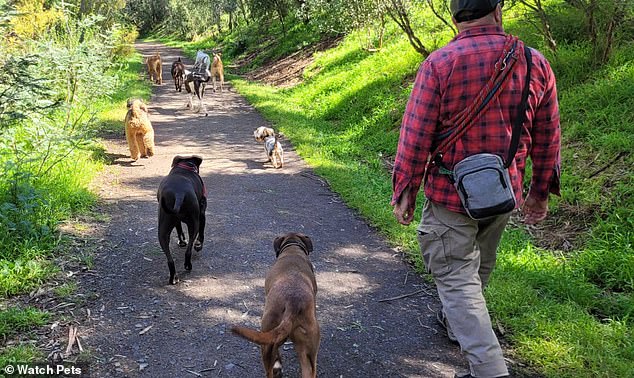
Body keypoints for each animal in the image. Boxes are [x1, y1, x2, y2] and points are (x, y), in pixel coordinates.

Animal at [157, 154, 206, 284]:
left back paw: (173, 277)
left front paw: (181, 241)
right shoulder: (202, 213)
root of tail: (178, 193)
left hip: (162, 230)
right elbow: (202, 233)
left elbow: (178, 228)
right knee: (189, 249)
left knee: (170, 259)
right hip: (194, 223)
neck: (185, 167)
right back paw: (188, 265)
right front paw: (199, 245)